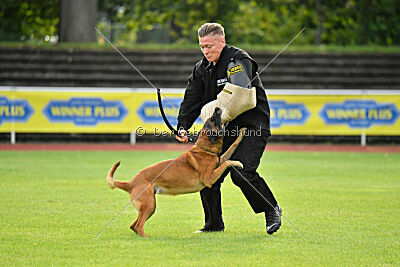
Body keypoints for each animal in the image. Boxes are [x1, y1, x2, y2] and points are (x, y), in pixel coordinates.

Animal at [106, 108, 244, 238]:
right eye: (213, 119)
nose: (216, 108)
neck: (205, 149)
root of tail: (131, 183)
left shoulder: (218, 163)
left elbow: (231, 148)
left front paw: (241, 133)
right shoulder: (209, 179)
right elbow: (227, 162)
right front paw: (237, 163)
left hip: (150, 207)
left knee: (133, 225)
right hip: (149, 205)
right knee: (139, 225)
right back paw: (147, 238)